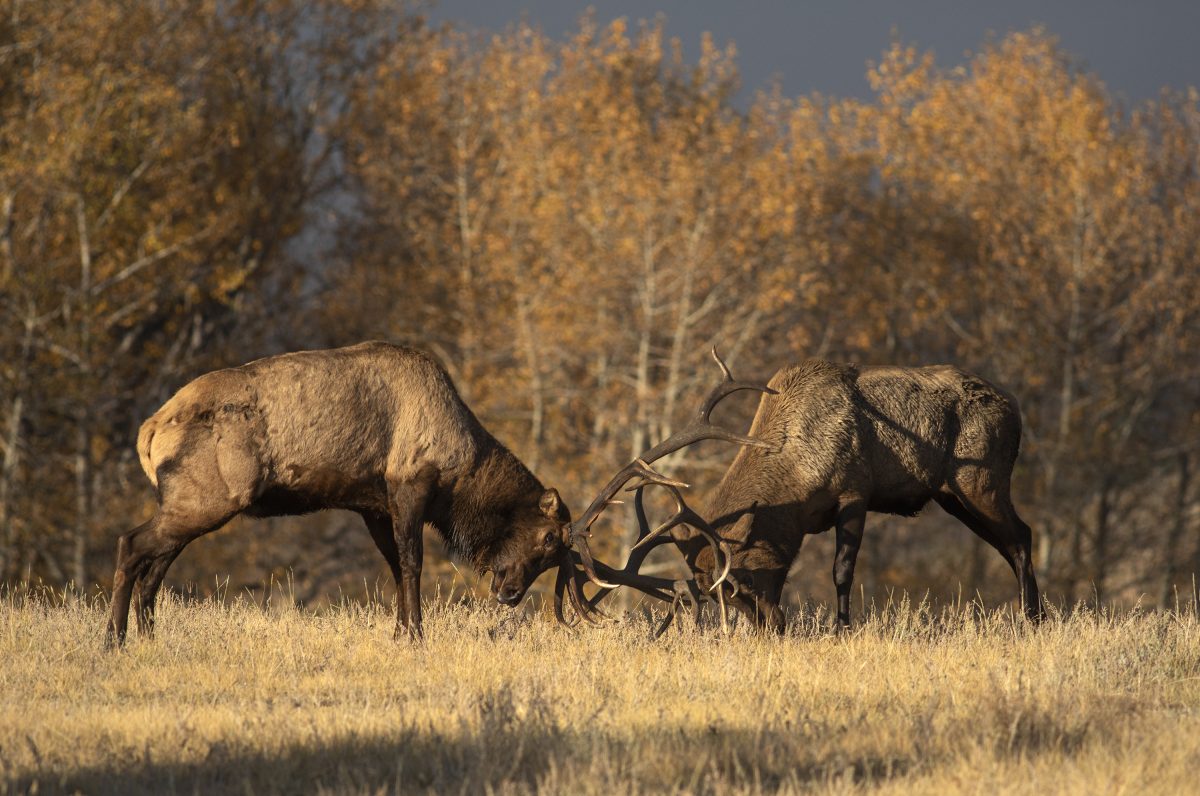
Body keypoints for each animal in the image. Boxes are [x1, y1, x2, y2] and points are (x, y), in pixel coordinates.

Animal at [106, 342, 770, 646]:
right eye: (547, 540)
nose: (507, 593)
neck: (462, 473)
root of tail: (149, 430)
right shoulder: (409, 484)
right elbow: (414, 563)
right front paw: (416, 634)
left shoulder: (370, 502)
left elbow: (393, 565)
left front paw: (401, 631)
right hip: (209, 495)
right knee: (133, 543)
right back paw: (115, 638)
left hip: (191, 501)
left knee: (157, 558)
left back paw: (147, 634)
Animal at [573, 359, 1046, 635]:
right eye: (715, 593)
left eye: (740, 580)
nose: (771, 627)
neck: (798, 479)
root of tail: (1016, 409)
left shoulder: (855, 491)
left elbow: (842, 570)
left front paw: (842, 629)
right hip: (952, 495)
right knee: (1008, 544)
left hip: (981, 480)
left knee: (1022, 534)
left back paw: (1033, 619)